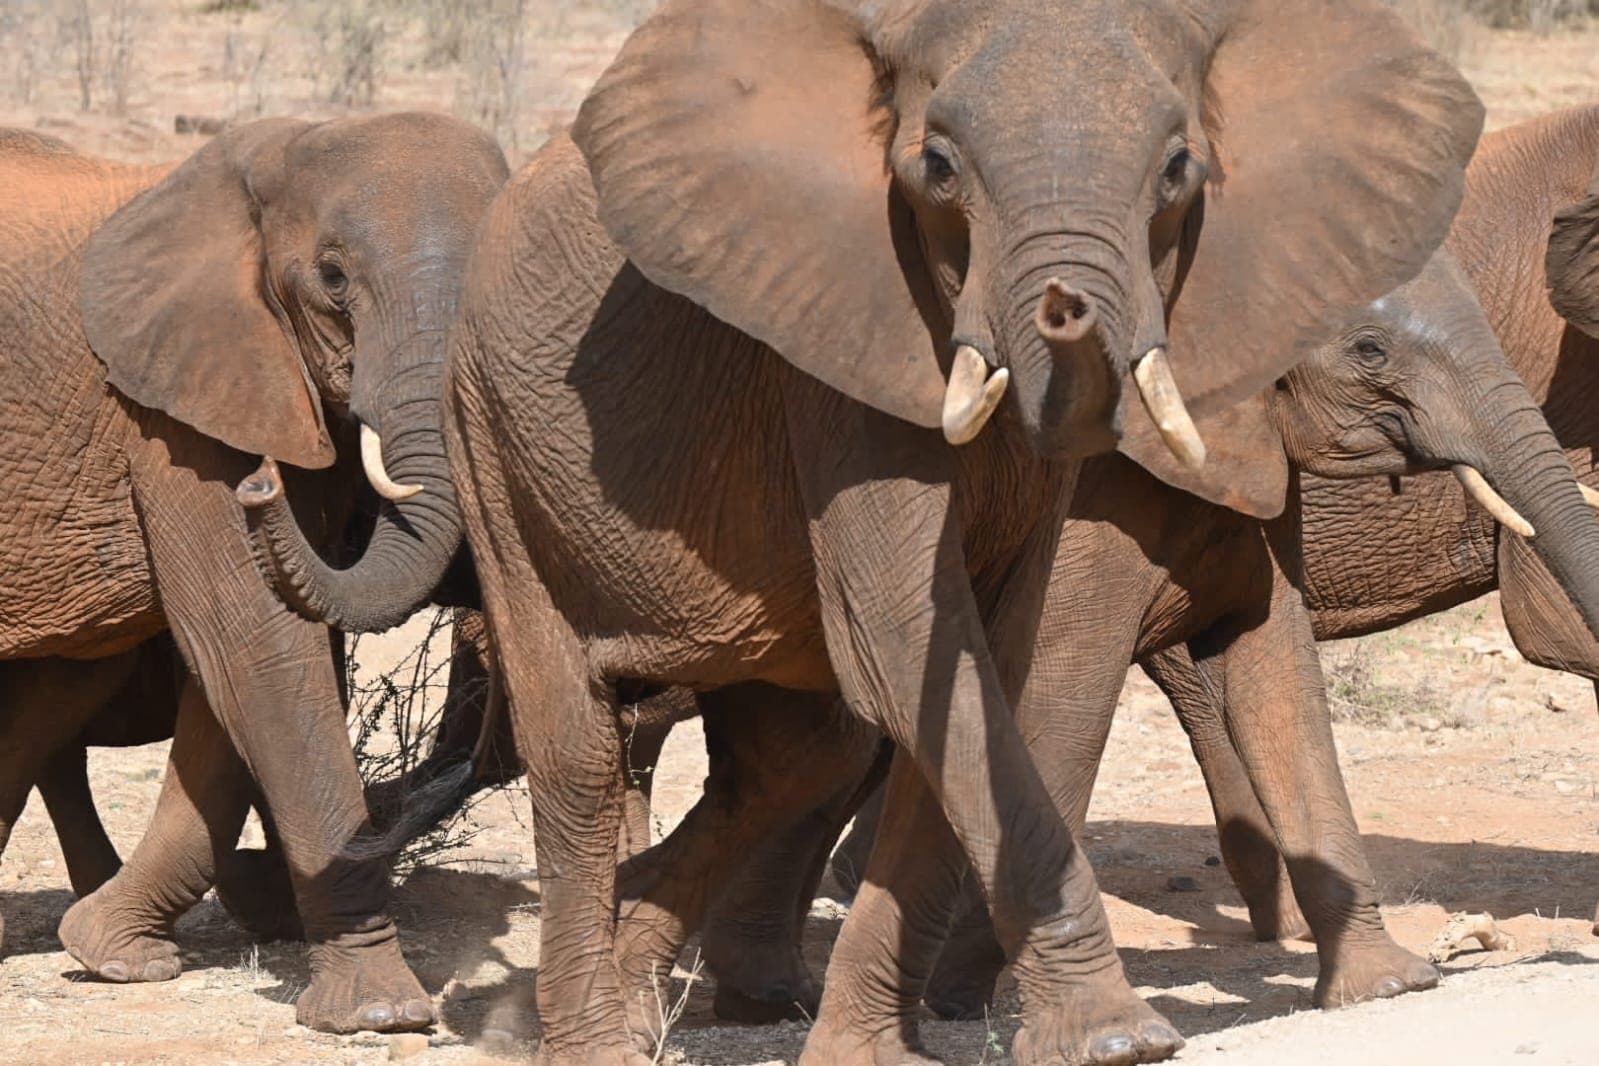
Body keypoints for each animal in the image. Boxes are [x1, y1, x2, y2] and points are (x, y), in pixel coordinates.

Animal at [0, 117, 507, 1033]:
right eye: (333, 278)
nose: (259, 486)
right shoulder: (172, 416)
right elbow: (252, 645)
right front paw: (379, 1013)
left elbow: (254, 665)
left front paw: (113, 950)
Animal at [245, 2, 1483, 1062]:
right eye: (937, 171)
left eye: (1178, 171)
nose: (1065, 312)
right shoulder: (835, 368)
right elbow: (913, 650)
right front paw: (1119, 1038)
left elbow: (981, 673)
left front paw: (868, 1052)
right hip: (493, 447)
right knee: (581, 752)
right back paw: (592, 1038)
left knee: (795, 756)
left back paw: (625, 982)